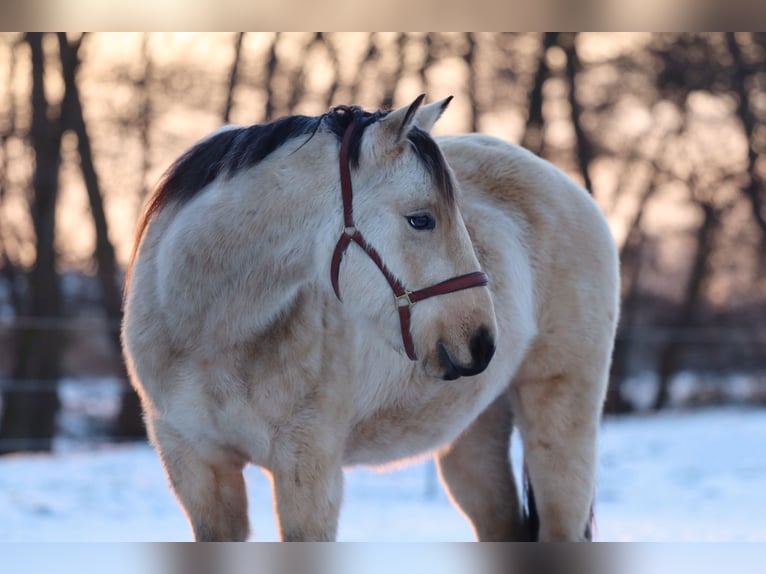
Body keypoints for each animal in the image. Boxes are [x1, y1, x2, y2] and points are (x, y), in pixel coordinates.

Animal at [121, 95, 619, 542]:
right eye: (420, 219)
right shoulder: (197, 468)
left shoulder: (307, 469)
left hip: (560, 424)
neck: (210, 335)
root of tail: (572, 189)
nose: (481, 341)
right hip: (474, 436)